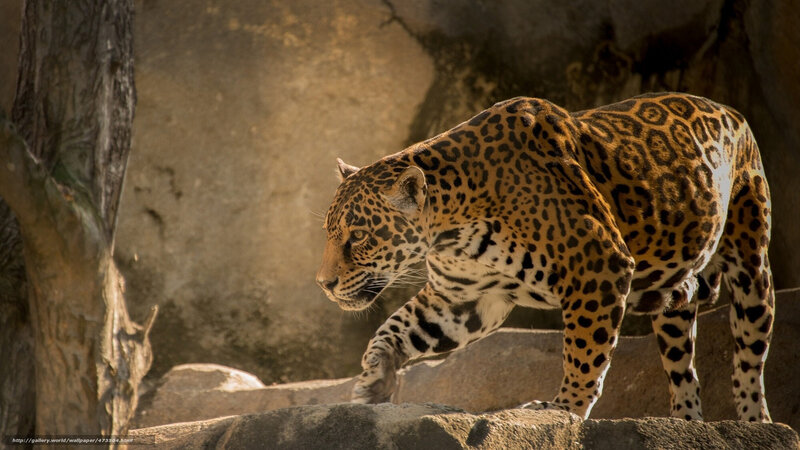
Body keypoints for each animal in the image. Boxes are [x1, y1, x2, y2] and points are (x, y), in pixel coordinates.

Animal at [316, 92, 774, 422]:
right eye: (329, 234)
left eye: (358, 237)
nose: (325, 284)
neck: (452, 225)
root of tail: (733, 112)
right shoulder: (462, 299)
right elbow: (396, 328)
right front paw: (375, 379)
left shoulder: (597, 264)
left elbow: (584, 351)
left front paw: (564, 409)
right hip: (674, 305)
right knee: (685, 370)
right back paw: (684, 423)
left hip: (751, 263)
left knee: (749, 360)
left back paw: (755, 423)